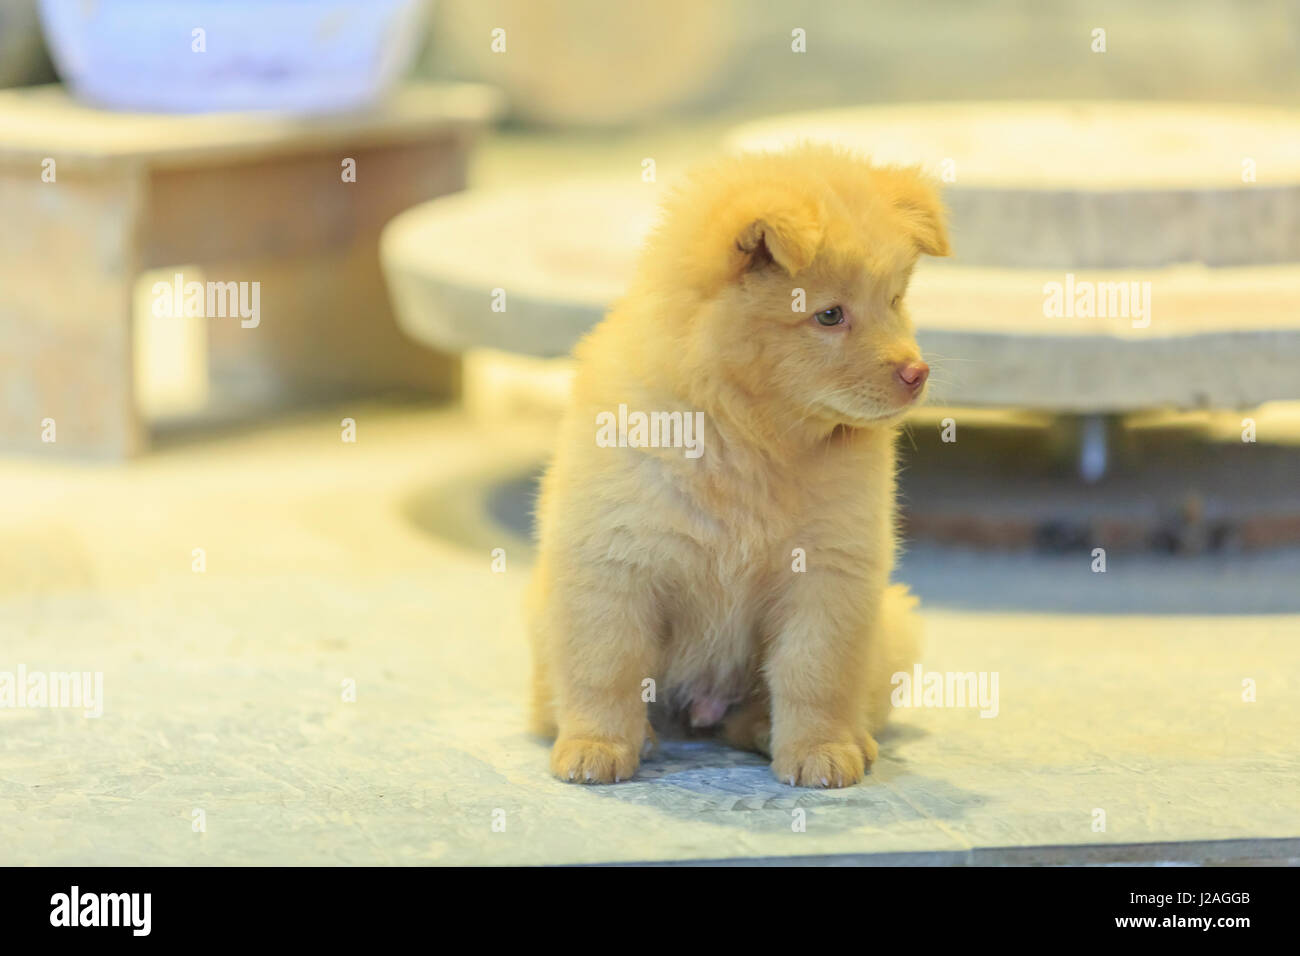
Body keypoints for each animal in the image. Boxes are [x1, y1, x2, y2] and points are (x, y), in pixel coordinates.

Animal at [525, 145, 946, 790]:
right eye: (829, 316)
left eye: (895, 300)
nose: (916, 372)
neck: (751, 439)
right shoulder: (613, 566)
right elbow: (607, 668)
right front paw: (596, 747)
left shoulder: (829, 575)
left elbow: (815, 674)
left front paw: (820, 750)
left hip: (892, 624)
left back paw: (790, 732)